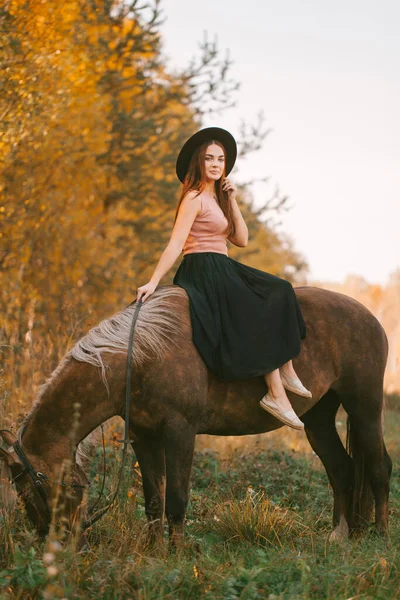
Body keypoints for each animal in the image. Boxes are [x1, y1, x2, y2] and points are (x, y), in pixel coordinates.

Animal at [0, 286, 394, 544]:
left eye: (31, 489)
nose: (56, 543)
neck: (142, 355)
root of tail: (369, 317)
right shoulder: (144, 436)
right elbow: (153, 500)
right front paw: (154, 552)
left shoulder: (180, 432)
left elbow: (176, 500)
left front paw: (175, 556)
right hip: (318, 419)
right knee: (341, 470)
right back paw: (340, 536)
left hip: (364, 406)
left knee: (378, 467)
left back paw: (379, 537)